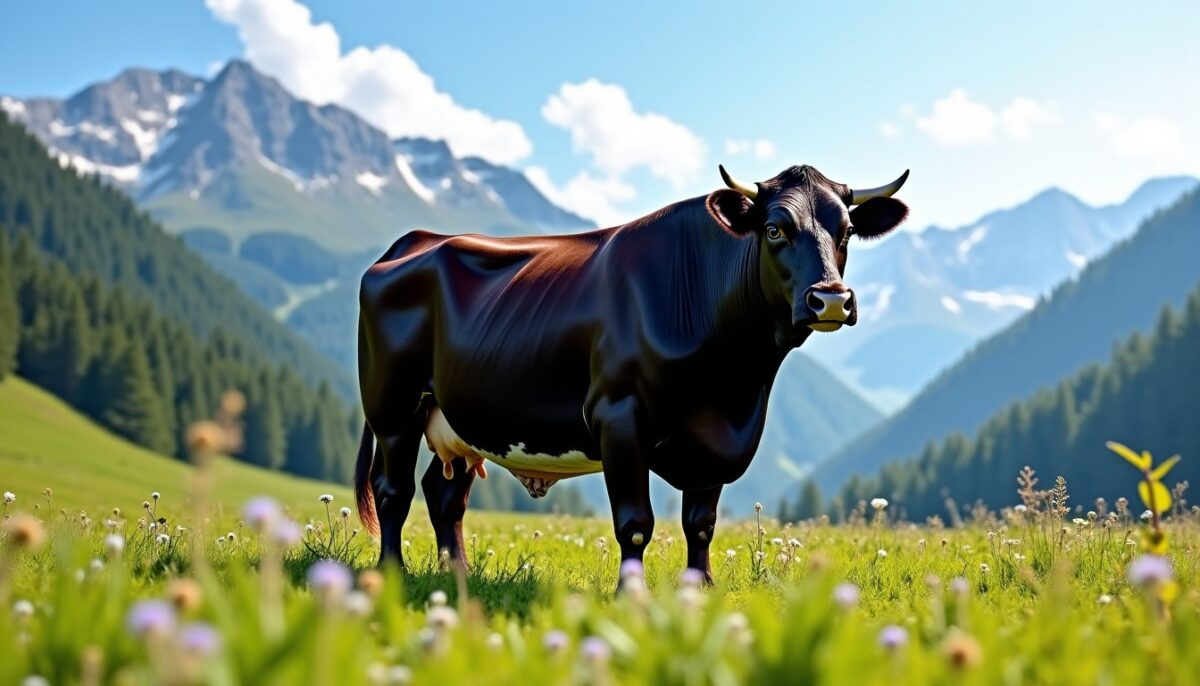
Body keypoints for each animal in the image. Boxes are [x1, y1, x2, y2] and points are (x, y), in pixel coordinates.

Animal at [354, 164, 909, 584]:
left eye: (847, 231)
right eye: (774, 229)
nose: (831, 299)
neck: (734, 385)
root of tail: (417, 240)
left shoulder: (715, 439)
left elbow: (701, 525)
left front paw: (701, 592)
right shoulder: (619, 417)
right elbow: (636, 524)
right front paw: (632, 599)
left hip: (465, 418)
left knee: (444, 495)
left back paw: (459, 575)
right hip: (394, 407)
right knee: (393, 490)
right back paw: (391, 575)